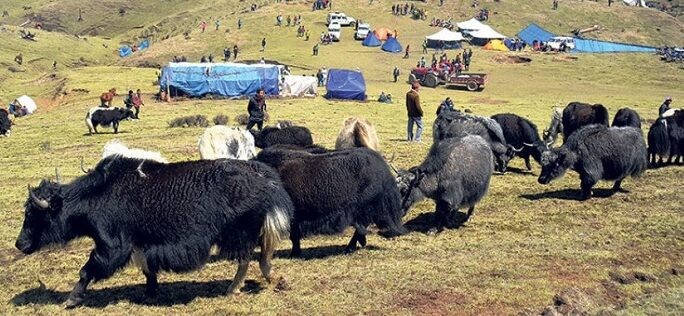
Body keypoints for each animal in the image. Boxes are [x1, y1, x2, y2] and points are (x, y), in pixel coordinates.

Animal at [15, 157, 294, 308]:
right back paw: (276, 280)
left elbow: (88, 269)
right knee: (263, 252)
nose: (20, 244)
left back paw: (234, 288)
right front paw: (150, 291)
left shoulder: (113, 245)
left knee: (248, 258)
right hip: (253, 226)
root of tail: (264, 176)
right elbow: (147, 267)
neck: (98, 195)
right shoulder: (142, 242)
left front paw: (72, 299)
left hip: (241, 229)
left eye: (34, 215)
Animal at [255, 148, 406, 256]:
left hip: (364, 206)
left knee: (362, 225)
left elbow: (294, 235)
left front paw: (294, 253)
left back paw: (350, 248)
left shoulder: (294, 217)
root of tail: (383, 168)